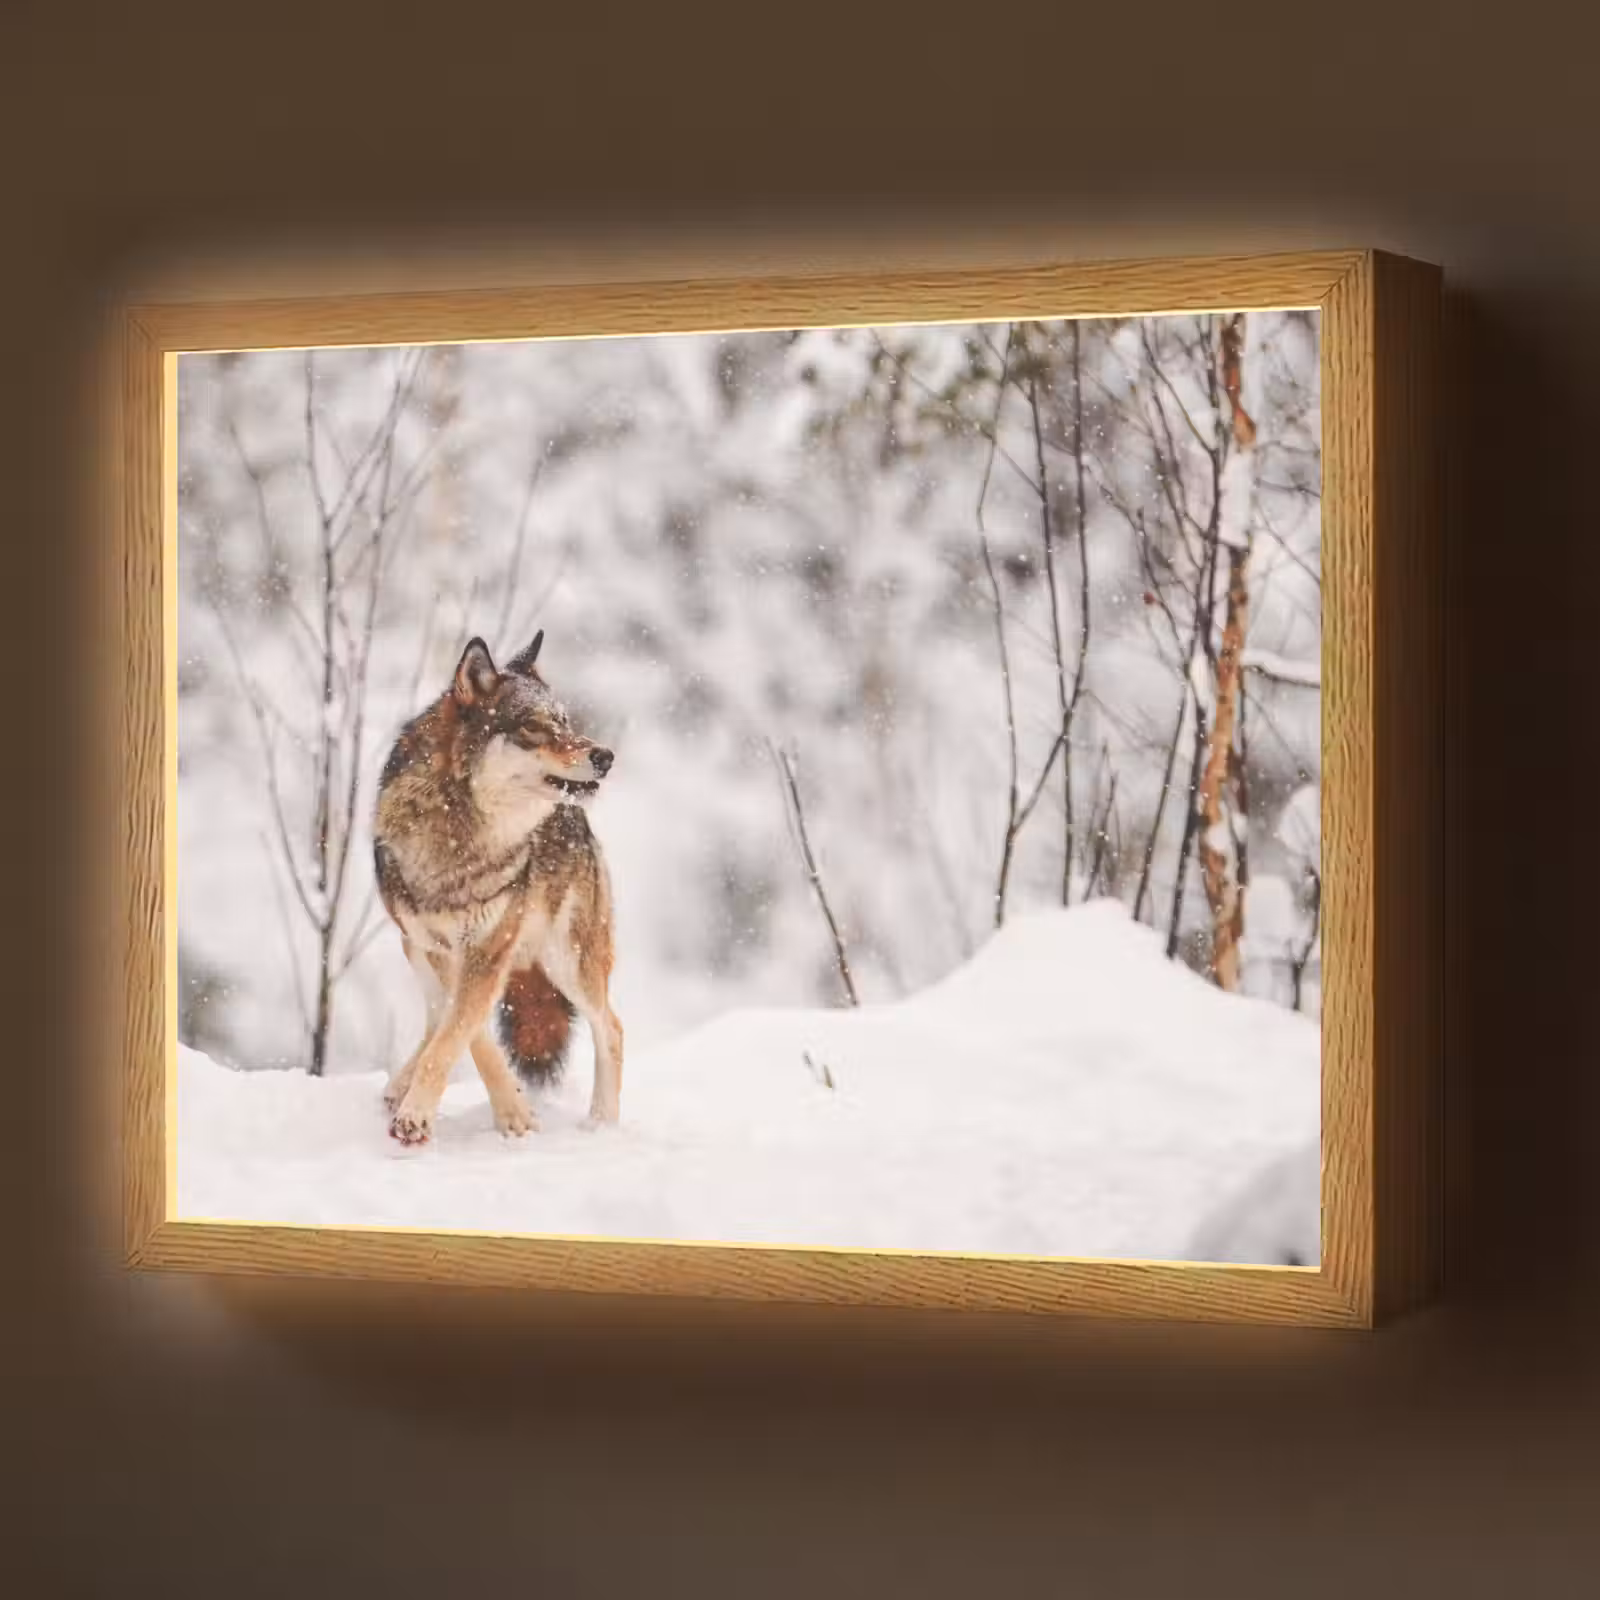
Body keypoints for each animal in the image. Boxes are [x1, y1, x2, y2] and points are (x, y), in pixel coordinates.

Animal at [372, 630, 622, 1146]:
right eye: (534, 727)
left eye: (565, 721)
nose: (605, 757)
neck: (463, 835)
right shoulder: (443, 949)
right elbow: (465, 1033)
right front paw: (511, 1111)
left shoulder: (488, 948)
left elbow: (457, 1033)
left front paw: (420, 1116)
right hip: (414, 948)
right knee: (435, 1014)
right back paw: (399, 1084)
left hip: (570, 960)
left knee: (611, 1027)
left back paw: (602, 1124)